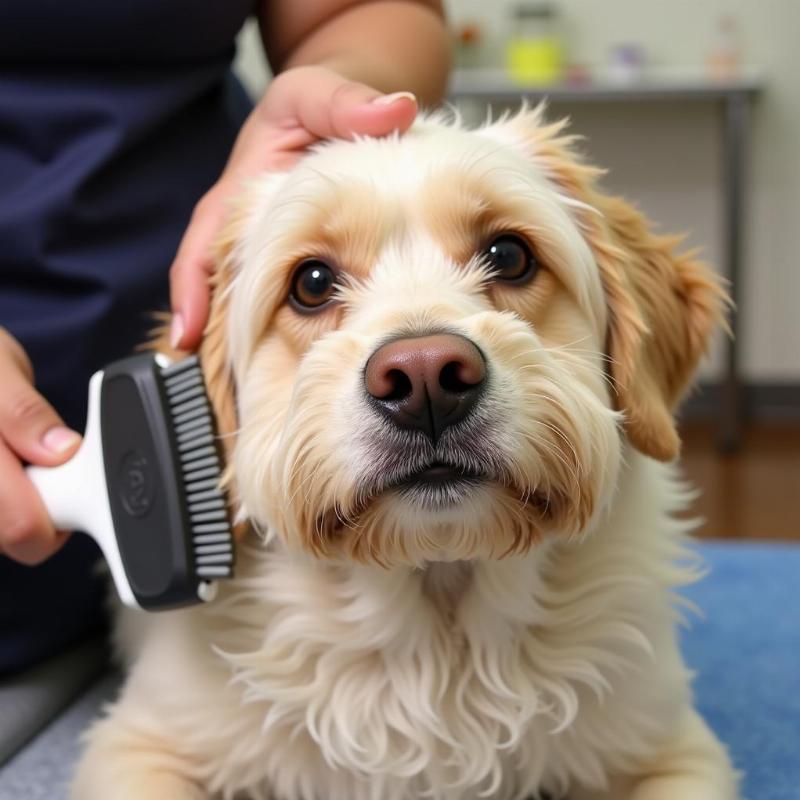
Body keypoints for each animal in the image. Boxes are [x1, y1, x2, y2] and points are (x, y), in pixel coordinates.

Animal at [72, 108, 740, 800]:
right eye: (312, 283)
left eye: (509, 255)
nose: (424, 379)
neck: (437, 634)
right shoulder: (139, 747)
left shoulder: (673, 752)